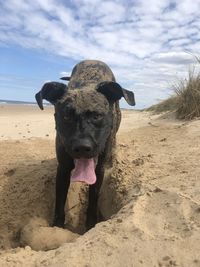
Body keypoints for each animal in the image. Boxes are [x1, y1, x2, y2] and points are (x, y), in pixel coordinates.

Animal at [35, 60, 135, 230]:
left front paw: (91, 224)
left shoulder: (98, 170)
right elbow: (60, 200)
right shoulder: (63, 169)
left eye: (97, 115)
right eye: (66, 116)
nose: (82, 147)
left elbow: (93, 198)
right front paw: (57, 225)